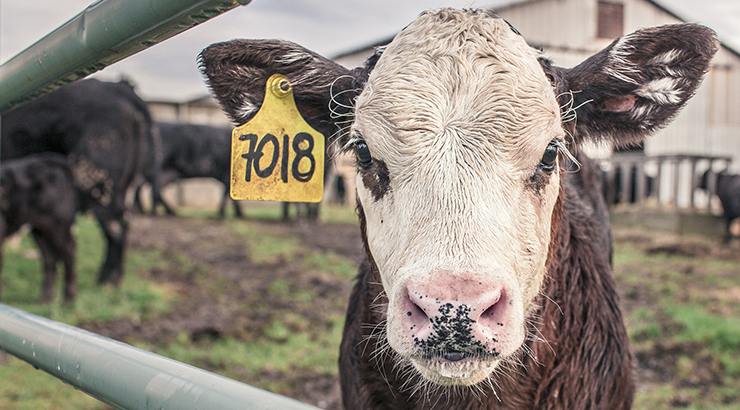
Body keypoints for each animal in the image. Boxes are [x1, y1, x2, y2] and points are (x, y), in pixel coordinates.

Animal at [0, 154, 78, 302]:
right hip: (40, 230)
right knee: (49, 258)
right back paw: (46, 299)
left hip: (58, 225)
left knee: (69, 251)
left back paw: (68, 299)